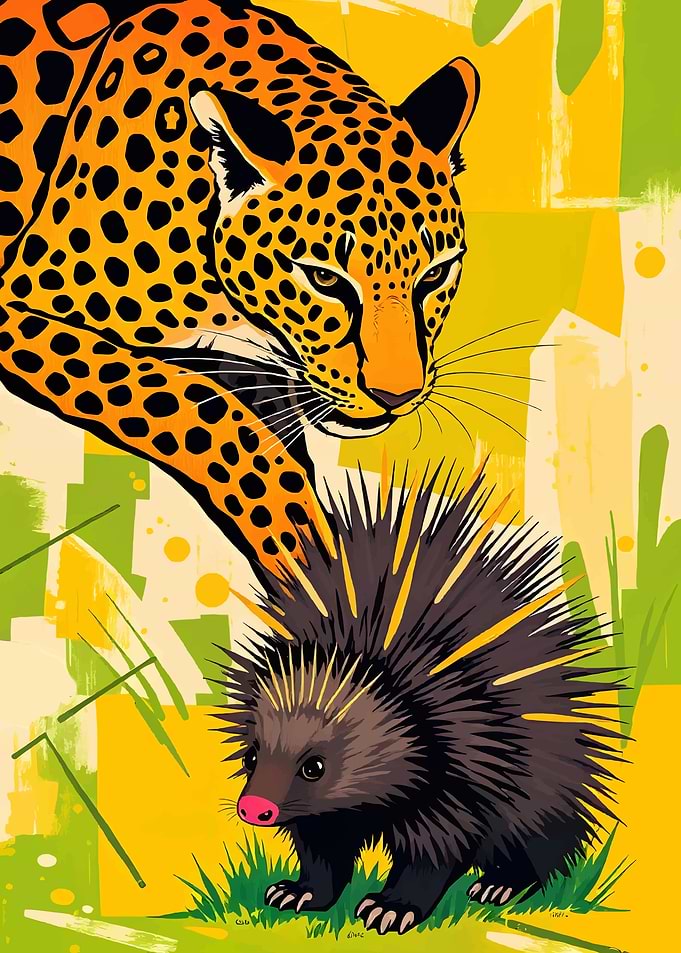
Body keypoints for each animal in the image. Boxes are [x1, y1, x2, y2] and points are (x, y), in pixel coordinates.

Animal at [0, 0, 479, 579]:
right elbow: (201, 406)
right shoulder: (19, 306)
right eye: (324, 279)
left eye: (434, 275)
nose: (396, 398)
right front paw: (299, 544)